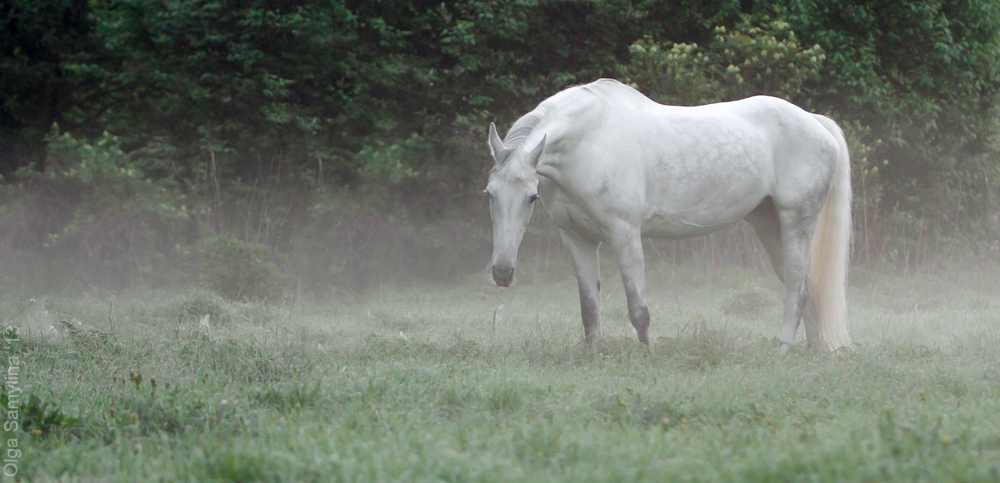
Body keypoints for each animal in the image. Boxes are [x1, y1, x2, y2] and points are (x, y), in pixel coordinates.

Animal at [486, 78, 852, 352]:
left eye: (531, 197)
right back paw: (812, 354)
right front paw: (593, 357)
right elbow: (589, 307)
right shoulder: (577, 238)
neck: (588, 141)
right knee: (808, 291)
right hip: (769, 225)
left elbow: (638, 308)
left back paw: (782, 351)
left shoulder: (624, 232)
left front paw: (648, 357)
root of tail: (815, 121)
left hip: (797, 221)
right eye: (489, 194)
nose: (502, 272)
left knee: (796, 292)